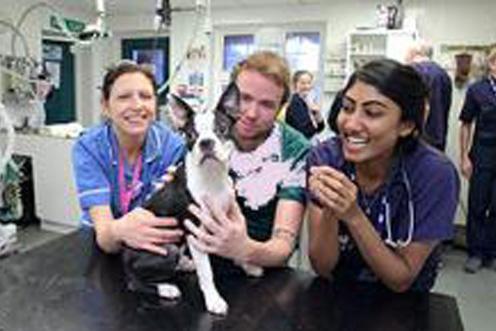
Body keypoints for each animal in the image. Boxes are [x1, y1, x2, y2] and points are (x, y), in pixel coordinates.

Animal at [123, 83, 264, 316]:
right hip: (166, 250)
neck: (212, 176)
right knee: (134, 281)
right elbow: (206, 272)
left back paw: (184, 264)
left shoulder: (223, 220)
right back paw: (165, 288)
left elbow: (235, 248)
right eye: (190, 135)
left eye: (221, 129)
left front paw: (247, 265)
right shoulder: (195, 231)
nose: (205, 142)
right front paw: (214, 300)